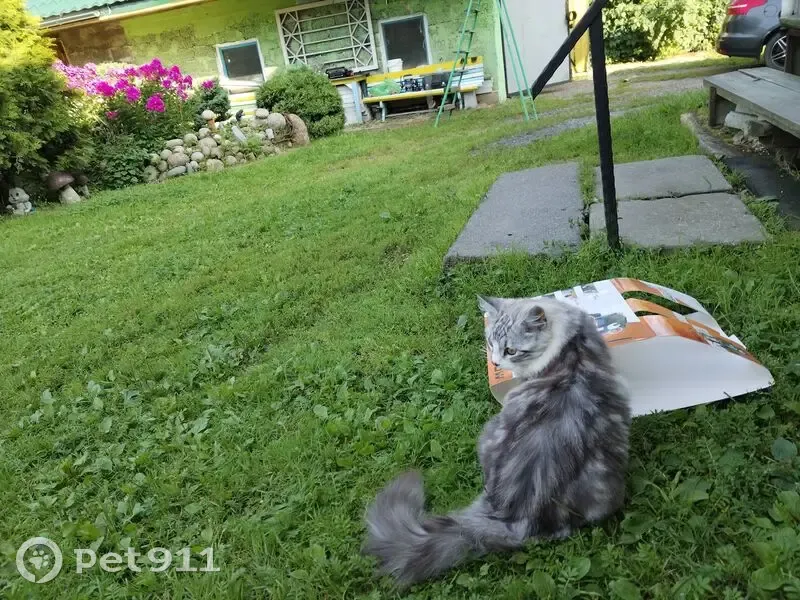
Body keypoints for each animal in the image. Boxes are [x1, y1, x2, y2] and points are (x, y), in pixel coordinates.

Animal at [363, 295, 631, 588]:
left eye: (511, 351)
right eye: (491, 342)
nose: (496, 363)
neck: (570, 345)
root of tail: (510, 515)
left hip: (489, 434)